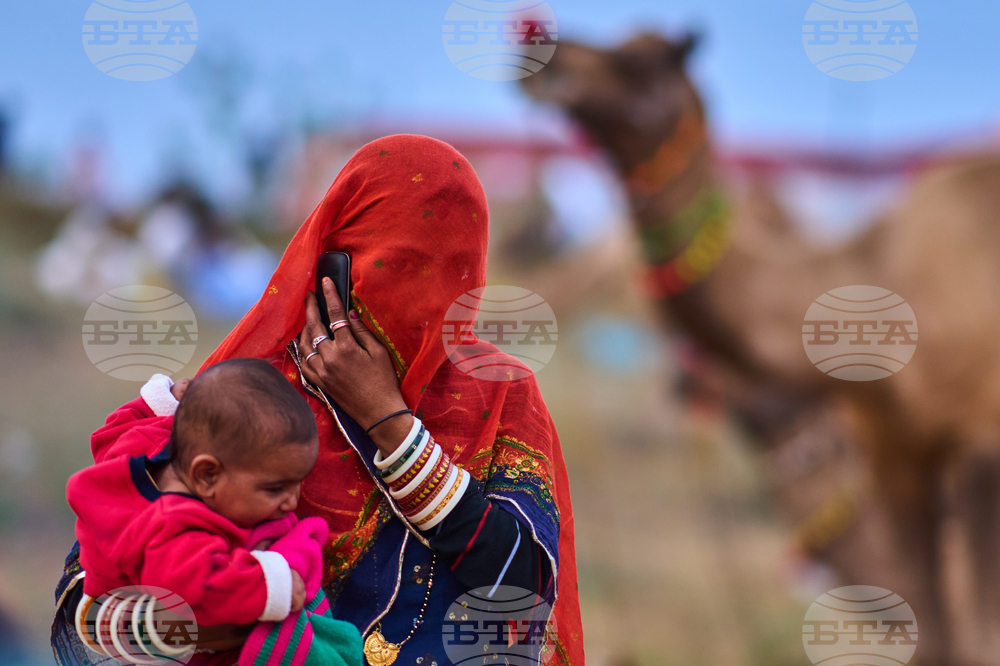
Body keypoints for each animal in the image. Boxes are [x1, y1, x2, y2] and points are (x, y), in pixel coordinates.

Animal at [521, 32, 1000, 665]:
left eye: (642, 65)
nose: (551, 54)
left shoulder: (980, 445)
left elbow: (978, 635)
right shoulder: (898, 456)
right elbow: (940, 637)